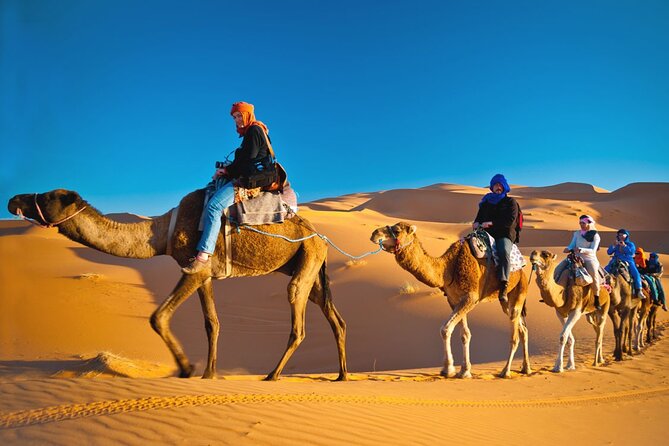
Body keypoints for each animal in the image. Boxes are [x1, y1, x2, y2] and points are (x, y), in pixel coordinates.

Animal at [7, 189, 348, 381]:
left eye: (48, 196)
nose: (12, 200)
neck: (160, 234)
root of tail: (321, 236)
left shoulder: (194, 268)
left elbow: (157, 316)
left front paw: (186, 369)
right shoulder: (206, 273)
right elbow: (212, 322)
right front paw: (209, 374)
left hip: (306, 259)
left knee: (299, 320)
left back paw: (273, 375)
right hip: (311, 267)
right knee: (335, 317)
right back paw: (342, 376)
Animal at [370, 222, 531, 378]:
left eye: (397, 230)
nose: (374, 234)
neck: (448, 268)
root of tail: (522, 270)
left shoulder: (470, 297)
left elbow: (445, 329)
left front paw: (448, 369)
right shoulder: (455, 300)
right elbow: (465, 334)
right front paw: (464, 370)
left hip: (519, 291)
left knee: (515, 335)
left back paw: (506, 371)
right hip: (505, 302)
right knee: (522, 329)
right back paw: (526, 368)